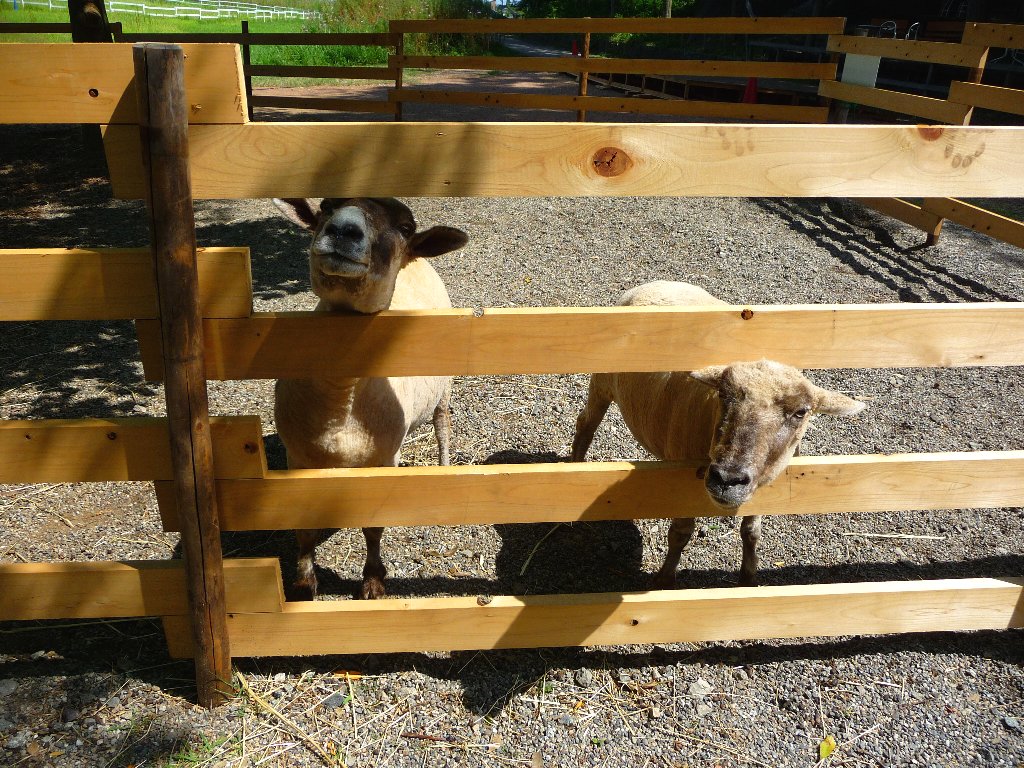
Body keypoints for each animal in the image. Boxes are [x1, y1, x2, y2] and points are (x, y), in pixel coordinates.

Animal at [273, 197, 468, 600]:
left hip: (444, 385)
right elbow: (304, 527)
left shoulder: (382, 461)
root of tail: (417, 259)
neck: (340, 403)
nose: (344, 230)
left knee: (443, 424)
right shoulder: (296, 457)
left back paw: (443, 466)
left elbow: (373, 526)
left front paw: (373, 583)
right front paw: (304, 585)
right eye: (325, 207)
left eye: (406, 227)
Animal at [570, 280, 866, 588]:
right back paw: (575, 470)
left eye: (801, 412)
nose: (727, 478)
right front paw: (665, 581)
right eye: (723, 395)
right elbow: (680, 533)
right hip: (602, 382)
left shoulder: (761, 483)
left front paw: (748, 580)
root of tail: (659, 282)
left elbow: (752, 532)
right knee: (586, 424)